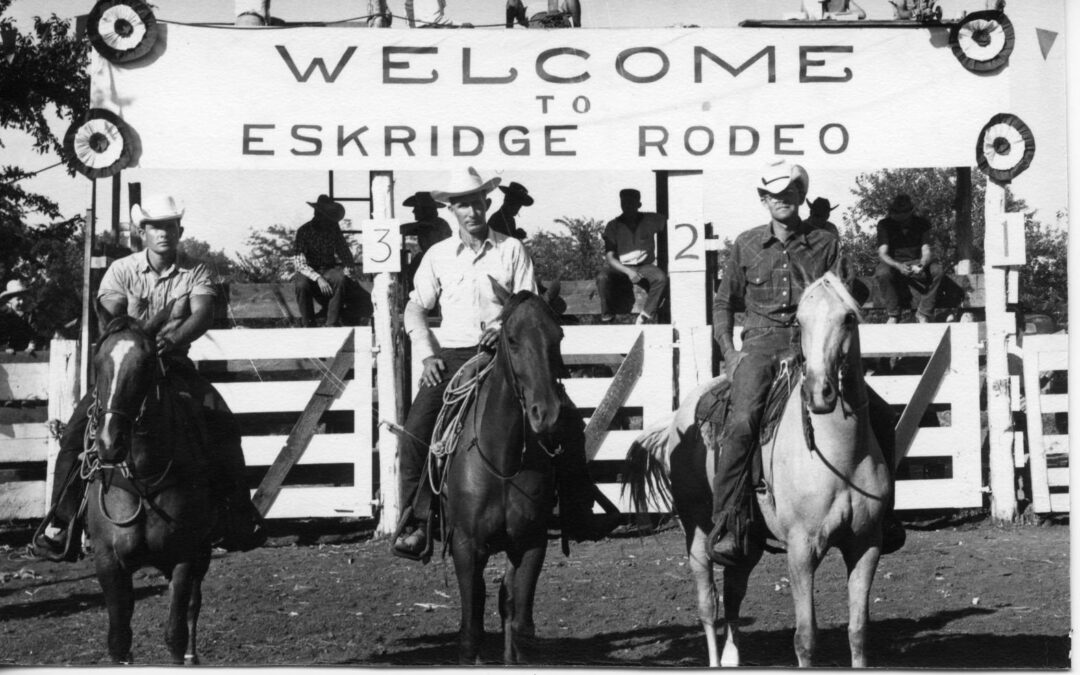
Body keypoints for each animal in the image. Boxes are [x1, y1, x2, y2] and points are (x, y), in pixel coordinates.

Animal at [82, 311, 217, 665]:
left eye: (144, 364)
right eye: (98, 362)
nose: (109, 442)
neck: (143, 479)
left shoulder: (185, 556)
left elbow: (176, 633)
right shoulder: (108, 561)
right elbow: (119, 640)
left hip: (202, 552)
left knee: (193, 605)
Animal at [442, 285, 570, 665]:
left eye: (558, 336)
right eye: (511, 339)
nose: (548, 414)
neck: (504, 462)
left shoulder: (531, 544)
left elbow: (520, 623)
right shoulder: (466, 546)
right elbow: (471, 630)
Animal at [622, 271, 889, 665]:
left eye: (849, 318)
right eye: (800, 321)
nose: (819, 393)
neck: (840, 455)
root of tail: (678, 419)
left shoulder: (866, 544)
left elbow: (858, 632)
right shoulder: (802, 549)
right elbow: (805, 638)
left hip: (747, 540)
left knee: (733, 594)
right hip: (696, 530)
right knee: (708, 605)